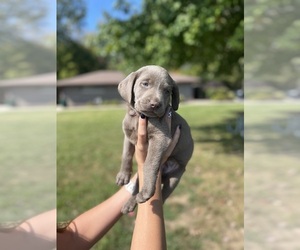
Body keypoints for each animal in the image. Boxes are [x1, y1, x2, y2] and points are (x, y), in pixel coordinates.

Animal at [116, 64, 193, 213]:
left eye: (167, 91)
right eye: (145, 84)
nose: (155, 104)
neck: (138, 116)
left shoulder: (160, 137)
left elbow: (149, 163)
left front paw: (147, 191)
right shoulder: (128, 136)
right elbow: (126, 154)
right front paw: (123, 175)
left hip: (175, 177)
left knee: (164, 195)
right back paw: (129, 203)